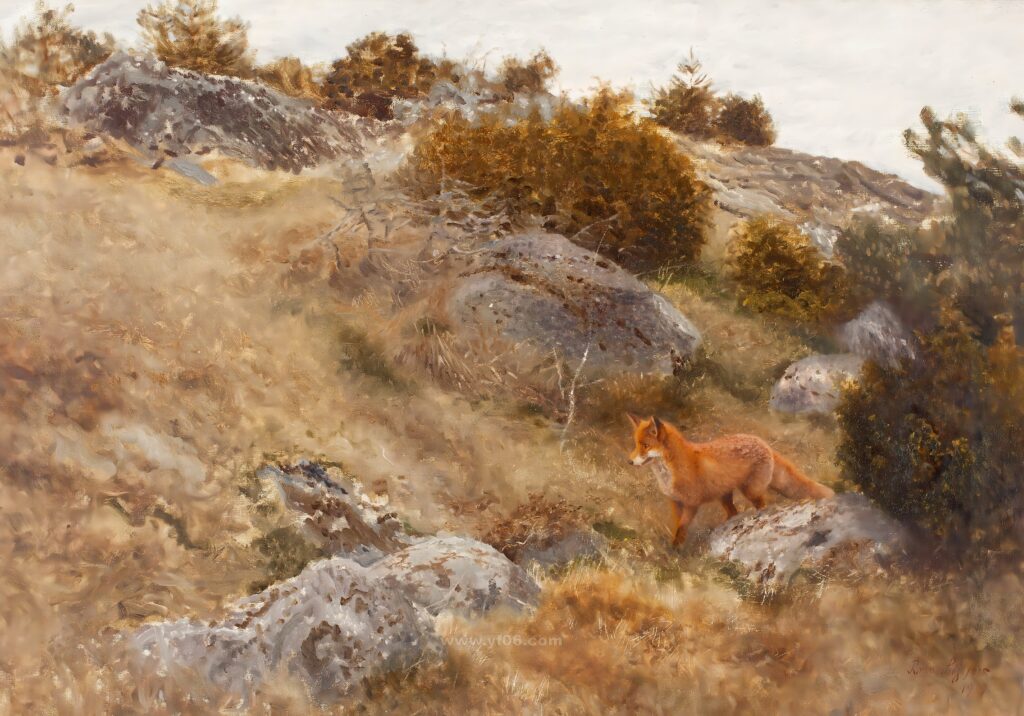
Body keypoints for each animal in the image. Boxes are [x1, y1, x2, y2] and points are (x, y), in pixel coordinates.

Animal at [626, 413, 834, 546]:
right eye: (635, 445)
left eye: (645, 446)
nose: (629, 461)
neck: (670, 472)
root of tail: (763, 443)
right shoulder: (674, 502)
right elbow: (678, 525)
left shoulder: (692, 504)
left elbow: (682, 528)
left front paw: (676, 549)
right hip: (724, 497)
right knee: (734, 512)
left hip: (750, 491)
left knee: (762, 505)